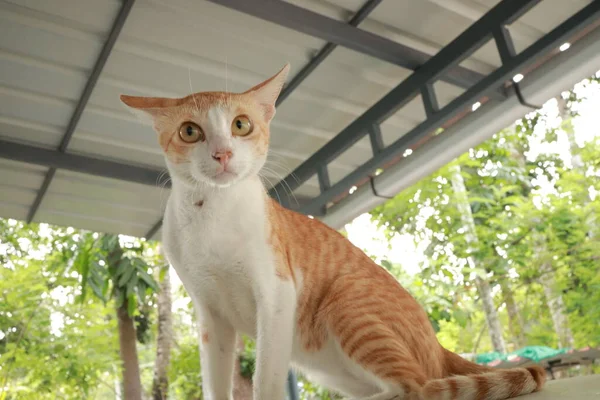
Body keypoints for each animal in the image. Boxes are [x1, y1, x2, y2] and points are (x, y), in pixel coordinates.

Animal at [119, 64, 548, 398]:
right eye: (190, 132)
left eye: (241, 125)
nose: (222, 153)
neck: (211, 215)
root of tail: (438, 346)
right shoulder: (211, 317)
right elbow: (215, 383)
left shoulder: (277, 295)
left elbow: (265, 381)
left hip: (347, 306)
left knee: (417, 386)